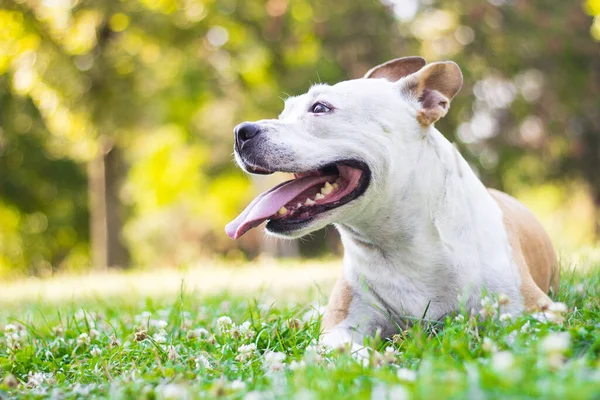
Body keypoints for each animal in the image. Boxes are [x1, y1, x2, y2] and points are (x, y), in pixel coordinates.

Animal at [225, 56, 556, 350]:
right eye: (284, 113)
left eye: (320, 108)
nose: (240, 132)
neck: (400, 242)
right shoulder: (340, 325)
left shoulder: (536, 312)